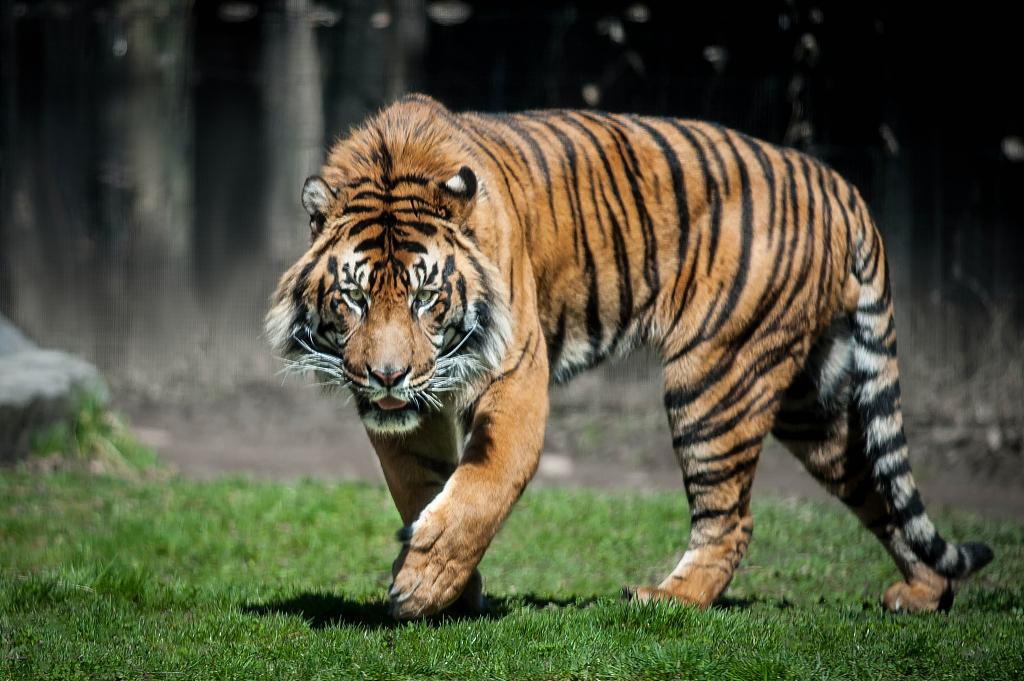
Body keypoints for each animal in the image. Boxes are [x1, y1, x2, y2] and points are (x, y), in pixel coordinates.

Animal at [266, 93, 993, 620]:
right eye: (355, 299)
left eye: (425, 298)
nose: (387, 375)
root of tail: (838, 184)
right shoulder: (409, 415)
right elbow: (420, 485)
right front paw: (441, 583)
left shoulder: (514, 375)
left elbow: (481, 487)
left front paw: (426, 580)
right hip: (807, 399)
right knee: (876, 482)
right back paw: (924, 594)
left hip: (715, 377)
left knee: (733, 519)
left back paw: (668, 598)